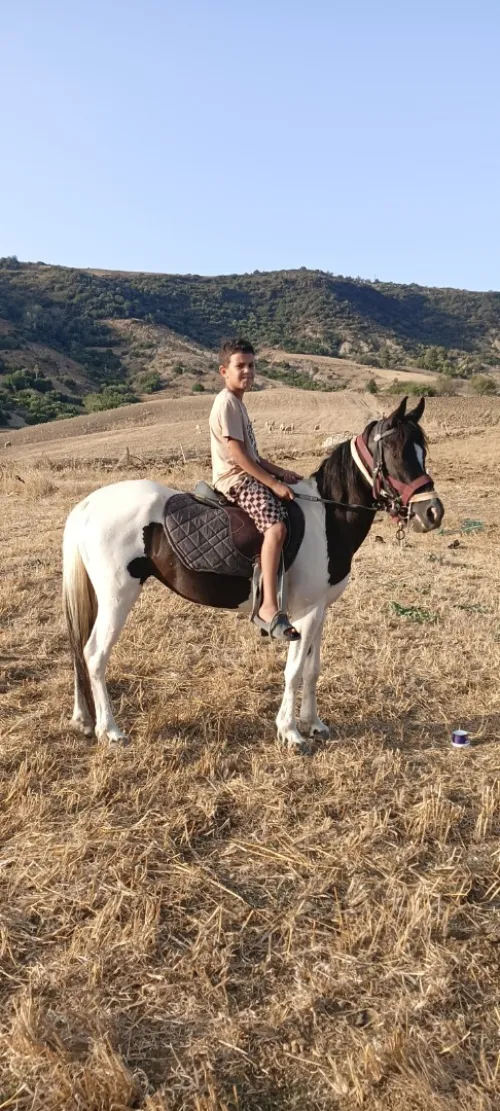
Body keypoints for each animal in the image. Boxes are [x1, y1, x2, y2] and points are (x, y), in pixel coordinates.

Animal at [62, 396, 444, 753]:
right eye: (395, 453)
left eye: (423, 451)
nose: (432, 512)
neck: (326, 518)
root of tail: (87, 506)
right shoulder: (303, 614)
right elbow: (293, 671)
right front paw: (291, 732)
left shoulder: (320, 610)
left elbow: (312, 668)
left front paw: (314, 723)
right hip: (117, 597)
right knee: (94, 654)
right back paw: (110, 731)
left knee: (82, 653)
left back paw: (86, 721)